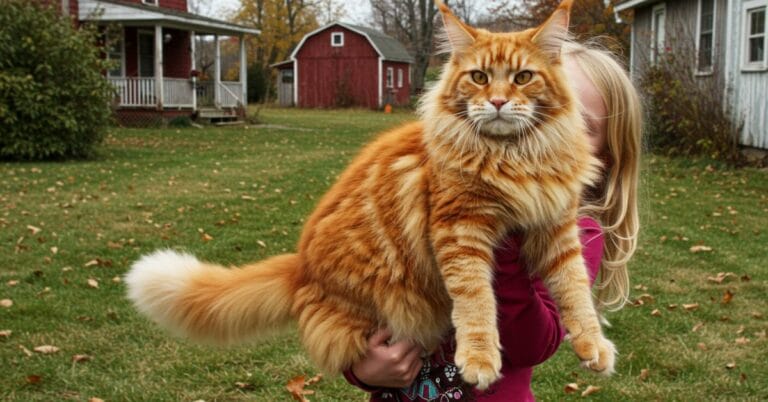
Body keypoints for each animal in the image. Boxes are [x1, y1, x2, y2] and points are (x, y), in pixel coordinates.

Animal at [129, 0, 616, 390]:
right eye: (478, 77)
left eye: (523, 77)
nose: (496, 102)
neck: (515, 155)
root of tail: (301, 266)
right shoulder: (459, 230)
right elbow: (477, 301)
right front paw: (480, 359)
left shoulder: (557, 227)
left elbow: (574, 290)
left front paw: (593, 344)